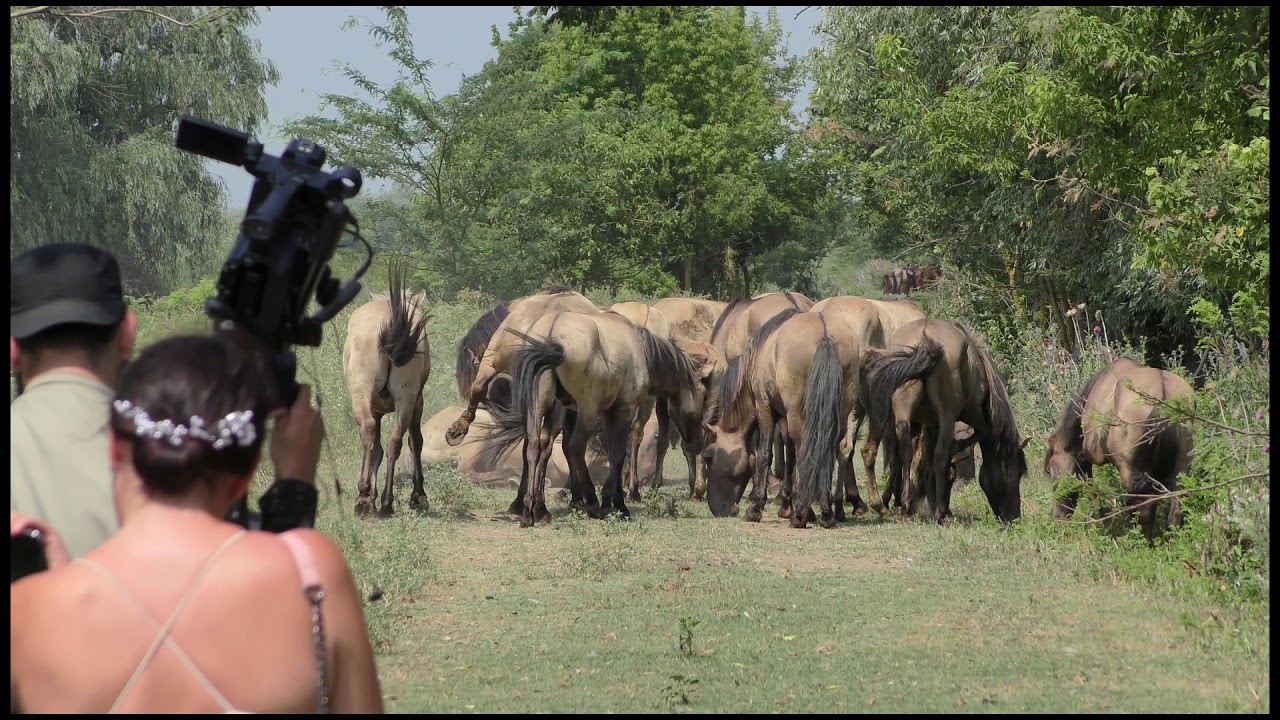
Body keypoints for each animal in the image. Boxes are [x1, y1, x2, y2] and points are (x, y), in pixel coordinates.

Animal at [343, 263, 432, 517]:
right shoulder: (416, 402)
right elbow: (414, 441)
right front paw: (418, 495)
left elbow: (378, 449)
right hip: (405, 400)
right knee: (394, 441)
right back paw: (382, 501)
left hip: (367, 395)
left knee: (374, 434)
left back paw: (371, 498)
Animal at [481, 311, 708, 526]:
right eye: (700, 401)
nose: (697, 444)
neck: (642, 350)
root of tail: (552, 331)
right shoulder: (623, 409)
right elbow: (618, 453)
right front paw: (615, 504)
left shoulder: (606, 412)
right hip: (587, 411)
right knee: (575, 447)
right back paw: (590, 502)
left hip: (543, 405)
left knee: (535, 446)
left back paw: (534, 511)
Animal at [703, 309, 862, 528]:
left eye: (708, 457)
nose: (717, 509)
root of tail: (825, 335)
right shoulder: (785, 418)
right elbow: (790, 454)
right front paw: (788, 505)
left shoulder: (765, 407)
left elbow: (765, 455)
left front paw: (757, 508)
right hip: (839, 412)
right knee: (827, 450)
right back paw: (826, 512)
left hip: (797, 412)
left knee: (805, 450)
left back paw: (802, 513)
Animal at [864, 319, 1029, 524]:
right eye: (1018, 473)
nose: (1014, 518)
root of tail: (924, 335)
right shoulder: (972, 415)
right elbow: (978, 435)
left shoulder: (930, 423)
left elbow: (924, 464)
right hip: (947, 416)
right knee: (939, 455)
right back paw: (940, 513)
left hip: (904, 413)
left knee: (905, 452)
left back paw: (906, 506)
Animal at [1044, 357, 1194, 540]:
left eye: (1051, 471)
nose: (1057, 518)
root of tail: (1164, 398)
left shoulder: (1088, 457)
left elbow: (1092, 490)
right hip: (1182, 469)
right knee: (1176, 512)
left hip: (1131, 471)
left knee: (1144, 510)